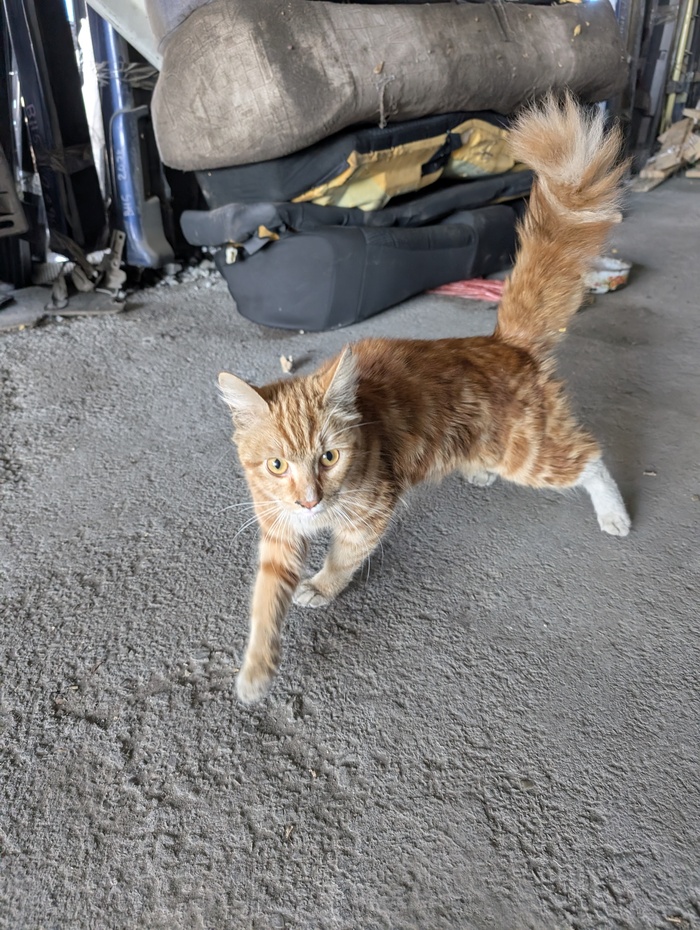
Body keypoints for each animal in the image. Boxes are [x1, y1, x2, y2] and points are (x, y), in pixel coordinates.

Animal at [218, 93, 631, 704]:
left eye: (329, 457)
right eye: (275, 465)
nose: (310, 501)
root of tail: (500, 342)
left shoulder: (369, 516)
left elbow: (342, 558)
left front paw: (323, 585)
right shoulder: (279, 532)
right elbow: (265, 603)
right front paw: (256, 669)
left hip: (532, 455)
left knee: (592, 460)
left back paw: (614, 513)